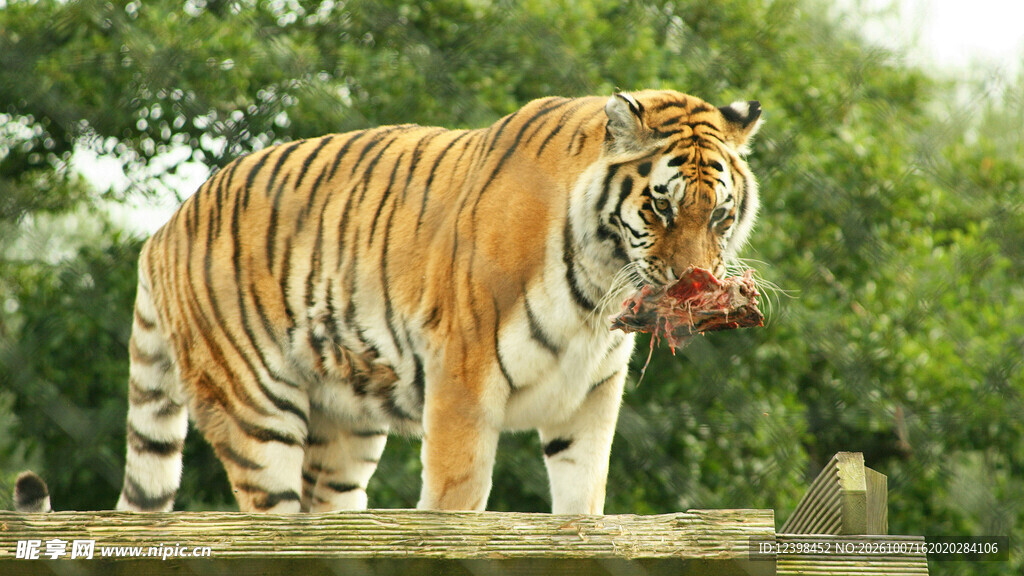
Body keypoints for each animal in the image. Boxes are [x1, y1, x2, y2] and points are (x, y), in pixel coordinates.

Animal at [14, 89, 762, 515]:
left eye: (720, 215)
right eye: (661, 207)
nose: (695, 283)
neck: (595, 294)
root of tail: (164, 227)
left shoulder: (588, 398)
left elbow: (582, 509)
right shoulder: (464, 378)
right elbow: (458, 501)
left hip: (342, 431)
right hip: (254, 410)